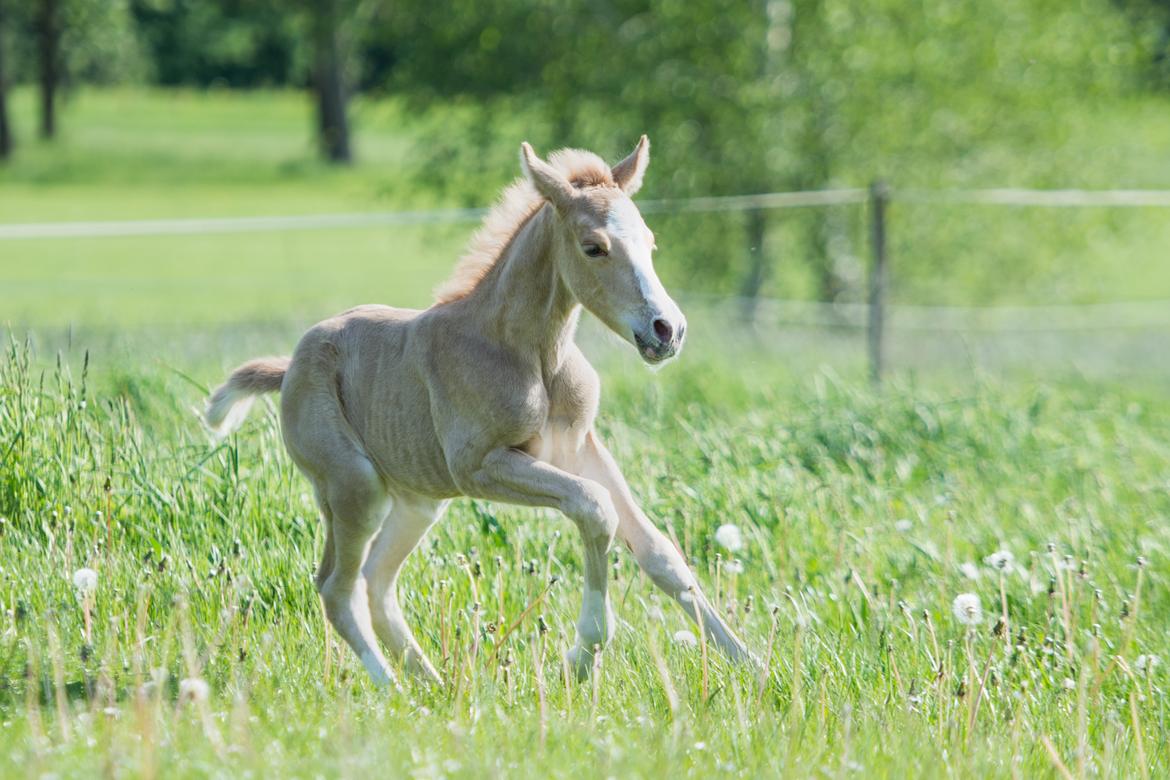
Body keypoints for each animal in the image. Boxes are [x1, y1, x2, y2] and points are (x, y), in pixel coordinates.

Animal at [207, 137, 753, 687]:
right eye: (593, 247)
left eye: (650, 241)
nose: (667, 330)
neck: (529, 355)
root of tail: (288, 369)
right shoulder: (478, 466)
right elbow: (595, 507)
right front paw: (582, 654)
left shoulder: (579, 446)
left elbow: (659, 552)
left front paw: (754, 664)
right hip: (353, 487)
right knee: (336, 586)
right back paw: (394, 689)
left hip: (418, 501)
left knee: (375, 580)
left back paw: (433, 684)